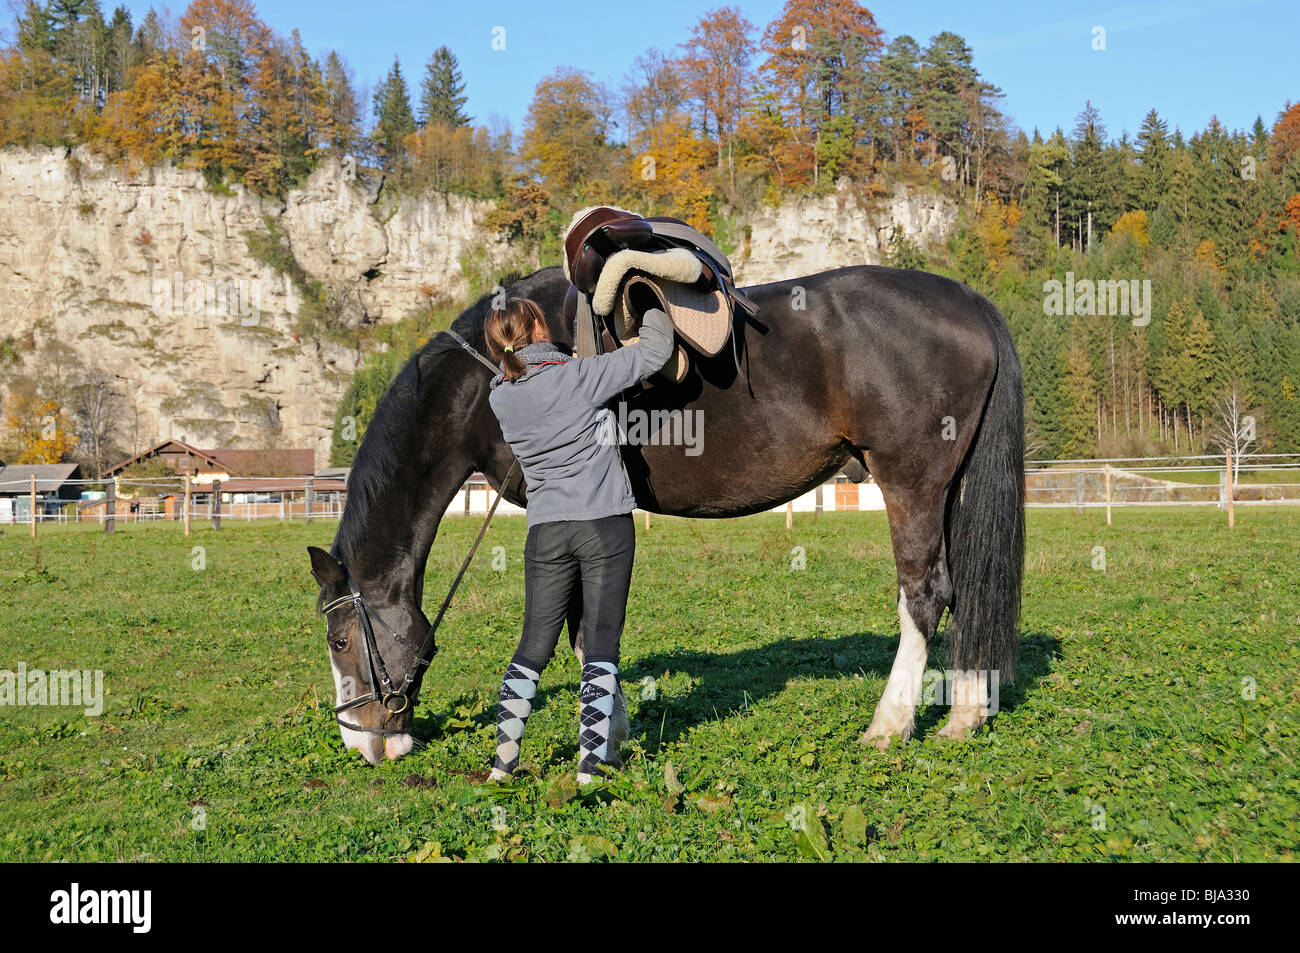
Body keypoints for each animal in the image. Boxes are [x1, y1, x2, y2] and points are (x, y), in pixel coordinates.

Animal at [306, 262, 1024, 764]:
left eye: (339, 640)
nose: (361, 742)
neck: (492, 380)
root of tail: (969, 302)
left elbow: (583, 626)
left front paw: (608, 730)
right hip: (948, 487)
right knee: (964, 588)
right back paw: (965, 713)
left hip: (909, 480)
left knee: (924, 594)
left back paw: (890, 724)